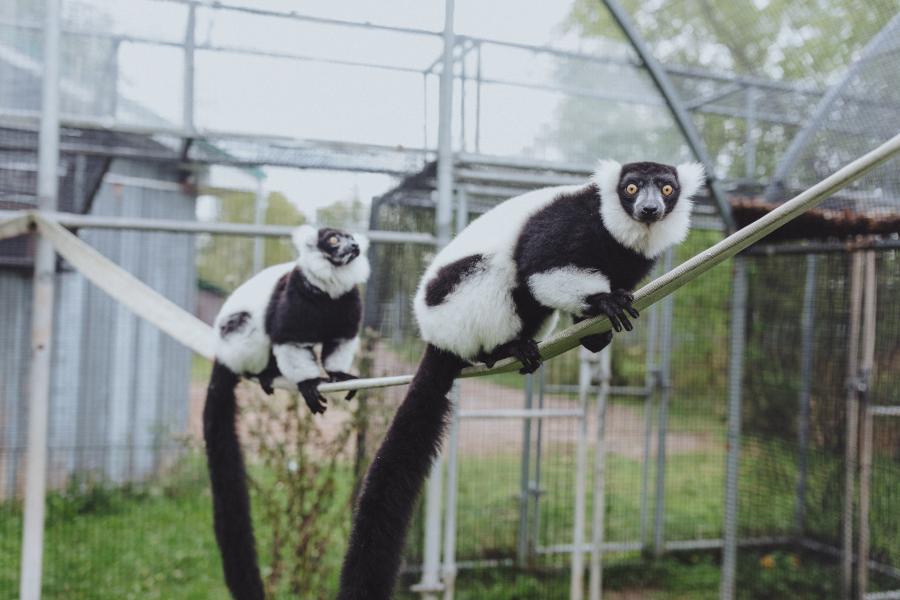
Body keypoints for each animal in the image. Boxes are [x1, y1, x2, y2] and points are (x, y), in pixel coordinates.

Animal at [204, 224, 369, 600]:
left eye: (350, 237)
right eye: (333, 239)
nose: (353, 246)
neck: (328, 294)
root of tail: (221, 355)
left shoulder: (347, 303)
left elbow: (339, 343)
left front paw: (338, 375)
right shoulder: (294, 301)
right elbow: (289, 339)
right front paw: (308, 382)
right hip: (237, 341)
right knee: (251, 328)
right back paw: (265, 373)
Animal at [337, 159, 704, 600]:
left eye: (666, 189)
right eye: (631, 188)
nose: (649, 209)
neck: (614, 229)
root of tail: (435, 338)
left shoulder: (629, 258)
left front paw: (596, 330)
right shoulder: (571, 222)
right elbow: (538, 266)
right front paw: (602, 302)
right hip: (458, 309)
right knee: (505, 275)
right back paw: (501, 350)